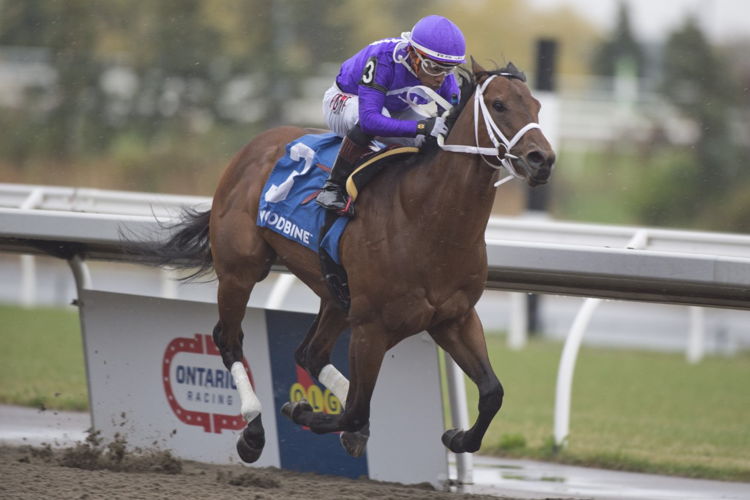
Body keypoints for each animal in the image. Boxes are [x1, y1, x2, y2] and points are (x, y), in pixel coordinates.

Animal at [141, 59, 556, 464]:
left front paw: (457, 436)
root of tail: (253, 147)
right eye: (499, 105)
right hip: (240, 272)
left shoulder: (454, 318)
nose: (543, 160)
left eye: (537, 106)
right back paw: (254, 430)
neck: (428, 221)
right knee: (229, 340)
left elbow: (492, 392)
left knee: (310, 353)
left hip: (335, 295)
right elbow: (356, 410)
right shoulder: (372, 327)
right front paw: (302, 411)